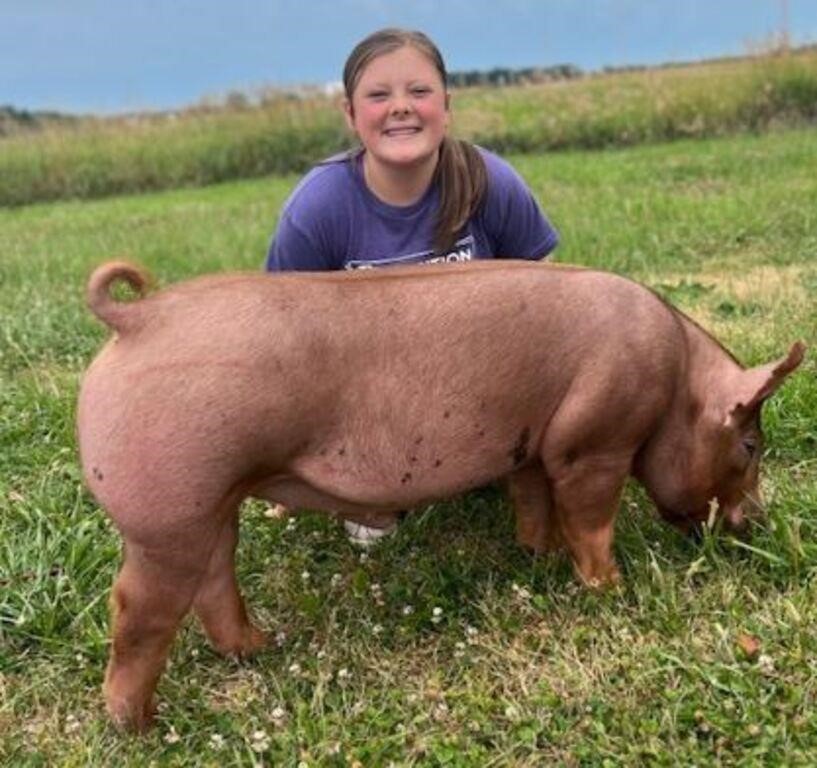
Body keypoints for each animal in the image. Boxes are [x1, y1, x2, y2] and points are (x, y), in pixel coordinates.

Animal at [76, 260, 804, 732]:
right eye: (749, 445)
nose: (758, 522)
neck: (675, 378)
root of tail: (136, 317)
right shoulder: (592, 443)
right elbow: (589, 518)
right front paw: (612, 589)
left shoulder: (531, 446)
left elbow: (533, 501)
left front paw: (537, 556)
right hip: (168, 514)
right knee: (138, 609)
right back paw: (139, 724)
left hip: (212, 506)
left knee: (214, 578)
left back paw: (259, 647)